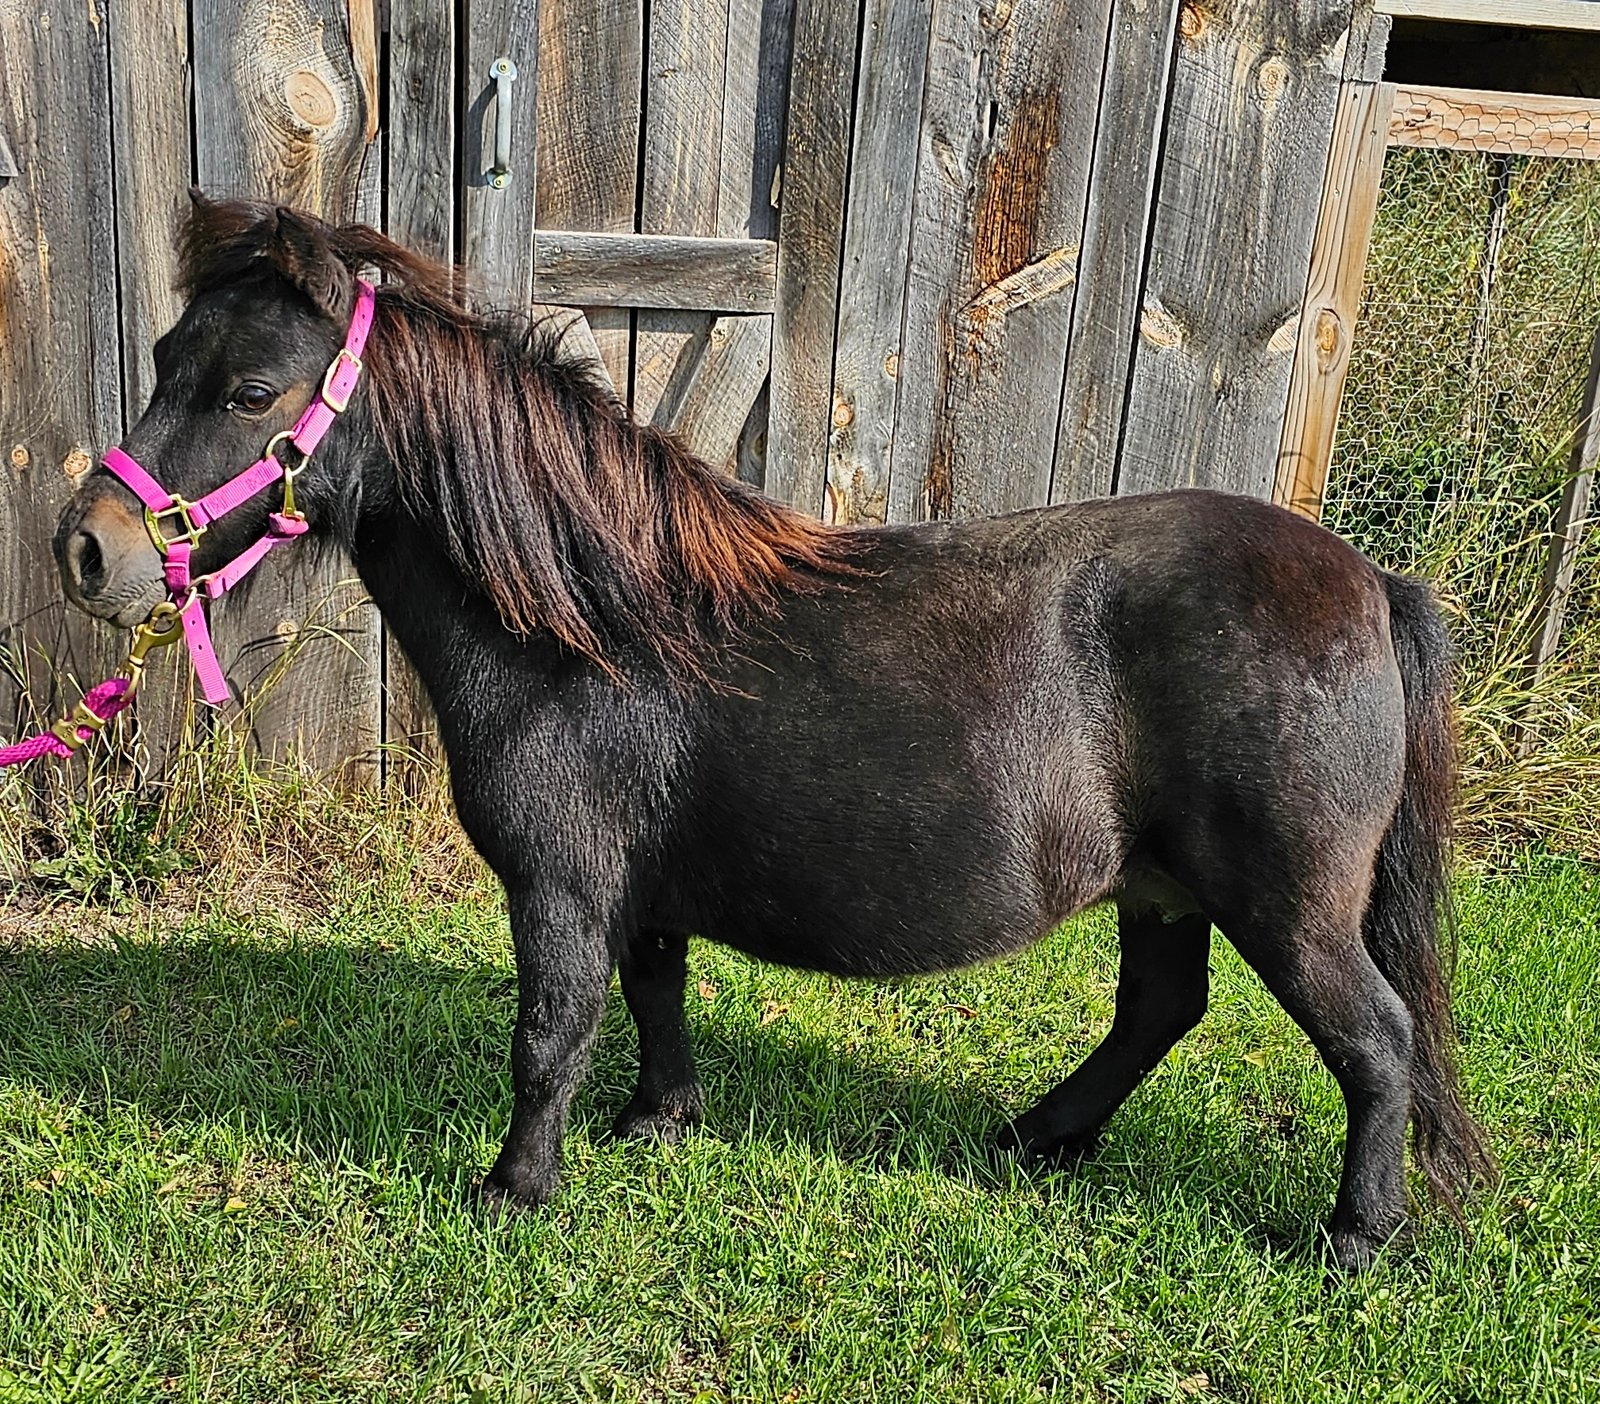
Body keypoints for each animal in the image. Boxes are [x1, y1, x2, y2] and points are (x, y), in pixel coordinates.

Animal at [53, 194, 1493, 1271]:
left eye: (250, 391)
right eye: (166, 361)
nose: (89, 550)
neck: (594, 625)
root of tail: (1370, 583)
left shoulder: (562, 883)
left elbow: (549, 1031)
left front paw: (515, 1188)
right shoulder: (636, 886)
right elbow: (651, 992)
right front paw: (659, 1121)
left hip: (1288, 903)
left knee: (1376, 1043)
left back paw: (1353, 1235)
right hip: (1165, 887)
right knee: (1159, 1011)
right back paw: (1041, 1135)